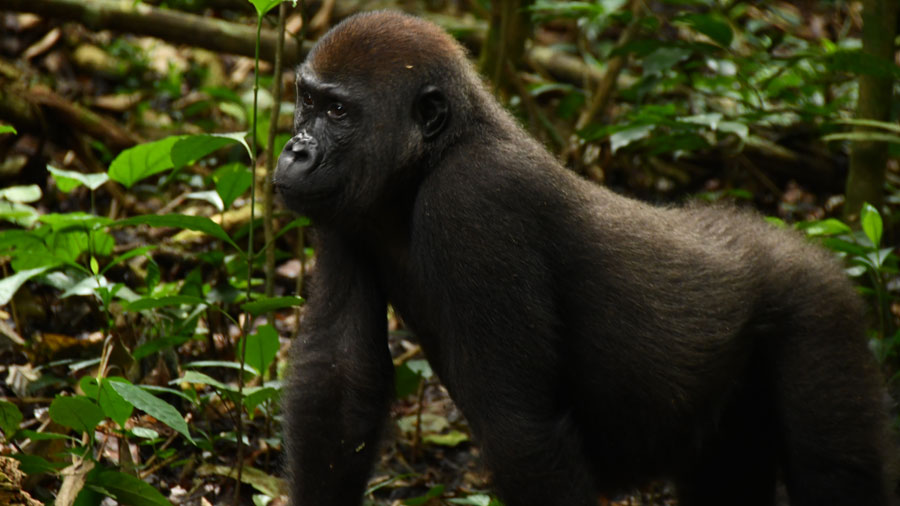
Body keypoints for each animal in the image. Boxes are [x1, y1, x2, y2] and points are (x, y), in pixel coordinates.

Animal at [274, 8, 892, 506]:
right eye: (307, 101)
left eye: (338, 112)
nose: (295, 151)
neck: (436, 154)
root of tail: (803, 245)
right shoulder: (346, 212)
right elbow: (338, 380)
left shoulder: (477, 198)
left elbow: (519, 429)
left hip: (819, 310)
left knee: (834, 473)